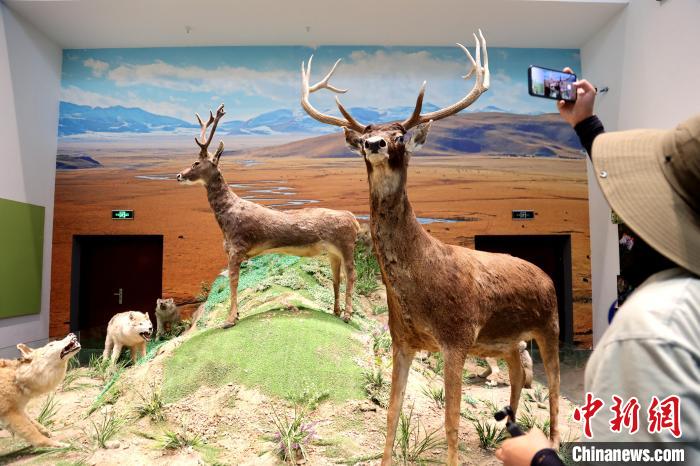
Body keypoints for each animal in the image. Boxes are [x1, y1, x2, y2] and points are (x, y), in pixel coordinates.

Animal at [176, 104, 359, 327]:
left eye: (196, 162)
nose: (179, 175)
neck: (225, 219)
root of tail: (355, 221)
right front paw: (235, 315)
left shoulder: (237, 247)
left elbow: (233, 281)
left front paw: (229, 319)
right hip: (333, 251)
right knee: (337, 277)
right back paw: (335, 311)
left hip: (346, 244)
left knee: (351, 274)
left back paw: (348, 314)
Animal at [300, 31, 560, 465]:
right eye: (367, 133)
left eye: (399, 136)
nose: (373, 143)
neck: (422, 280)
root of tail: (545, 274)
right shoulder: (401, 340)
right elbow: (390, 415)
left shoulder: (456, 337)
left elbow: (451, 424)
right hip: (506, 339)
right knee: (516, 371)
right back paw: (507, 433)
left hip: (549, 325)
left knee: (553, 387)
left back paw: (552, 440)